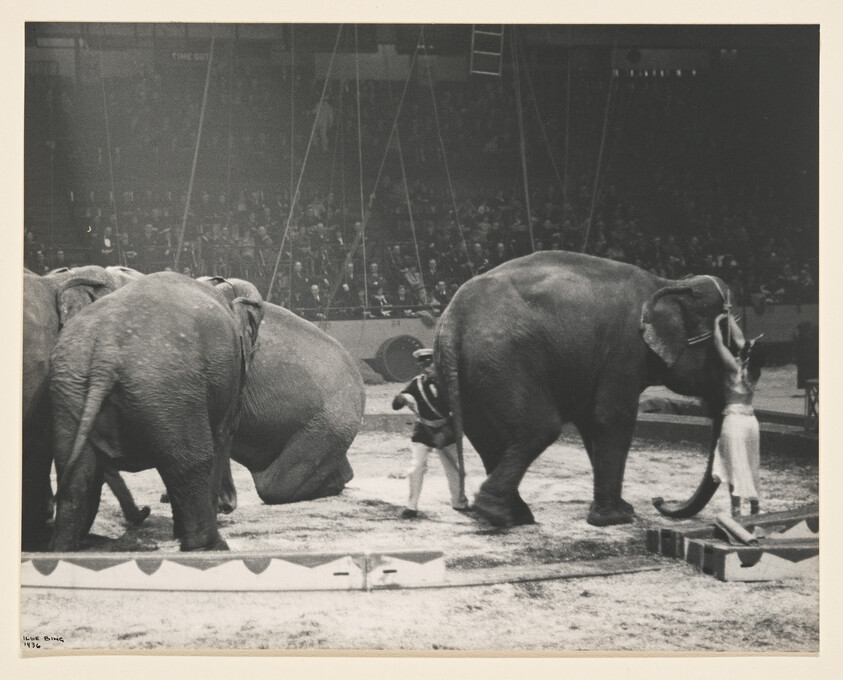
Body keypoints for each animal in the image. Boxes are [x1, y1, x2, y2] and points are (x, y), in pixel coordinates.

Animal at [48, 272, 263, 551]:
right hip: (169, 385)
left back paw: (64, 547)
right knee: (191, 463)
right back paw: (211, 547)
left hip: (71, 387)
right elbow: (223, 435)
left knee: (76, 473)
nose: (228, 506)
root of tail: (106, 354)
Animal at [434, 251, 735, 528]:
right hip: (503, 360)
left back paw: (512, 514)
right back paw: (499, 514)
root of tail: (453, 318)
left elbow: (592, 421)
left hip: (469, 375)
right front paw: (615, 519)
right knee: (540, 429)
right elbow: (612, 417)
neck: (668, 283)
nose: (658, 501)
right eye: (729, 351)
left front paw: (622, 510)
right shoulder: (625, 349)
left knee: (485, 436)